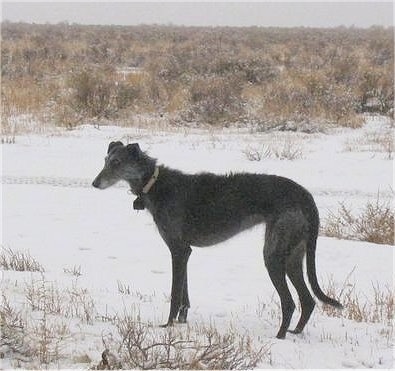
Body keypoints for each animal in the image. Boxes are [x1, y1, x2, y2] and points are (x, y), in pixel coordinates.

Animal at [93, 142, 344, 340]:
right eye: (105, 160)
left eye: (116, 162)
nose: (95, 183)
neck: (155, 183)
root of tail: (306, 196)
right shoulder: (185, 251)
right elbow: (184, 293)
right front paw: (182, 321)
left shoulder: (178, 250)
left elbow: (175, 293)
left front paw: (167, 326)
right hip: (293, 255)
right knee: (308, 300)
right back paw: (296, 332)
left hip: (273, 253)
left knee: (290, 301)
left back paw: (279, 337)